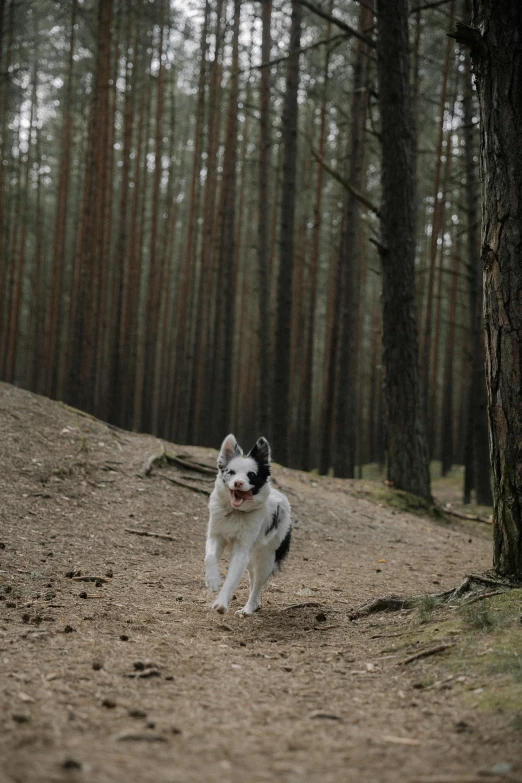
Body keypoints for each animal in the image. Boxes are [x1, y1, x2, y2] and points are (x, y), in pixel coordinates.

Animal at [204, 432, 292, 616]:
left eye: (251, 475)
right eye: (231, 472)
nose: (238, 482)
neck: (235, 512)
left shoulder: (242, 551)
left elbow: (231, 579)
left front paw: (221, 603)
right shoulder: (216, 536)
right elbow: (209, 557)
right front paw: (213, 580)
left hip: (266, 558)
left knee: (257, 584)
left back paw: (249, 607)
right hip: (253, 559)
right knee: (252, 580)